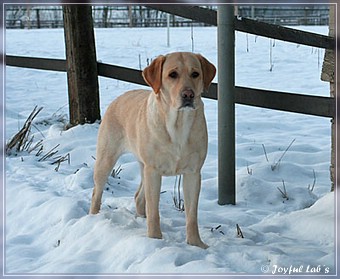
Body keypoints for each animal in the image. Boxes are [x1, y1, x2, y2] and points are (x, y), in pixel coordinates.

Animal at [90, 52, 215, 249]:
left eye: (195, 74)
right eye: (172, 75)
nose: (188, 94)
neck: (178, 126)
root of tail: (117, 99)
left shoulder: (193, 173)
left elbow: (191, 215)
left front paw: (196, 244)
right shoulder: (154, 171)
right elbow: (154, 211)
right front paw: (155, 239)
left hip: (144, 168)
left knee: (139, 197)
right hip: (106, 160)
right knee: (97, 192)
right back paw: (93, 218)